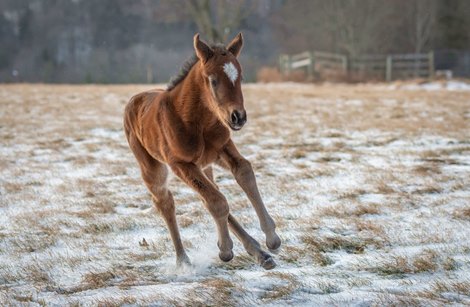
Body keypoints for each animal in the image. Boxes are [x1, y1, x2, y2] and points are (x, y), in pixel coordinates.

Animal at [123, 33, 280, 270]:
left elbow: (244, 173)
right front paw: (225, 250)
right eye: (213, 80)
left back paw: (259, 252)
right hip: (153, 168)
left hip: (206, 164)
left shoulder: (223, 147)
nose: (238, 117)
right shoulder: (180, 164)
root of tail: (133, 101)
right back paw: (183, 261)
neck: (196, 121)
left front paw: (271, 238)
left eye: (241, 77)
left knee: (210, 194)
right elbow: (217, 201)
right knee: (166, 202)